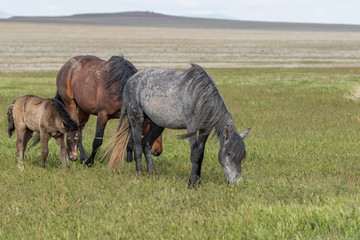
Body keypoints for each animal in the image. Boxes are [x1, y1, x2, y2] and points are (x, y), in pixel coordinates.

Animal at [107, 64, 250, 187]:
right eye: (229, 154)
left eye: (242, 157)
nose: (237, 183)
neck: (201, 96)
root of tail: (130, 80)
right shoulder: (192, 128)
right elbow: (195, 154)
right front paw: (191, 183)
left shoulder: (205, 130)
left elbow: (201, 155)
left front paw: (199, 181)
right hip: (136, 119)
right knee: (137, 147)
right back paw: (139, 175)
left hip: (157, 125)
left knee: (146, 144)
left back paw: (152, 174)